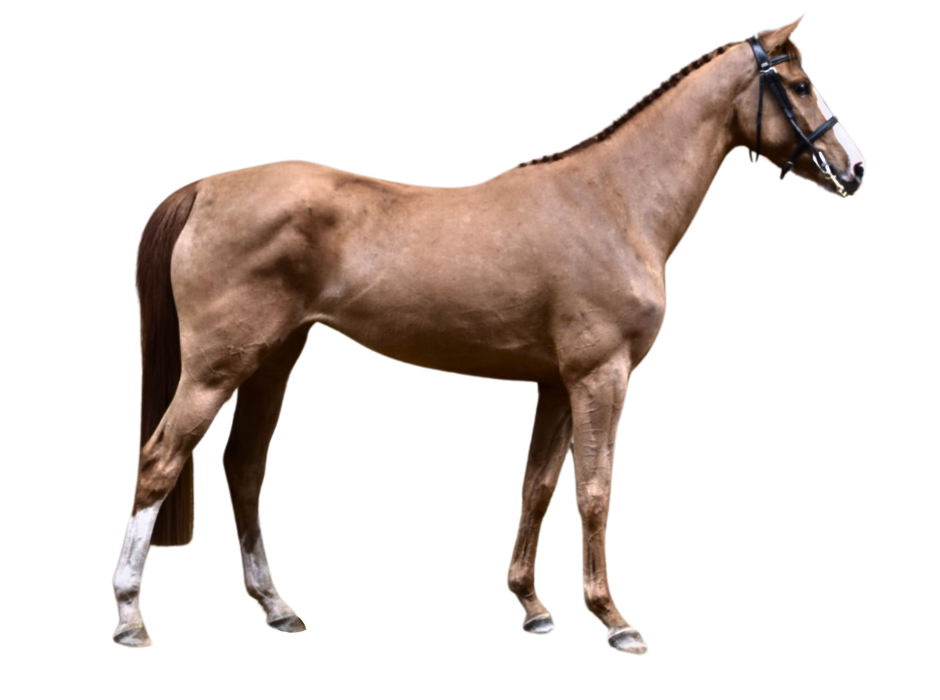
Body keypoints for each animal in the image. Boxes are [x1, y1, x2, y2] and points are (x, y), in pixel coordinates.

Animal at [112, 13, 866, 652]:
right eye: (799, 84)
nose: (856, 168)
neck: (615, 202)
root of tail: (206, 188)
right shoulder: (601, 376)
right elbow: (595, 494)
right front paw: (615, 621)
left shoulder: (557, 384)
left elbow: (538, 487)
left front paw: (533, 607)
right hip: (216, 368)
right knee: (160, 461)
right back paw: (129, 618)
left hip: (274, 358)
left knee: (243, 467)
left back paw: (277, 608)